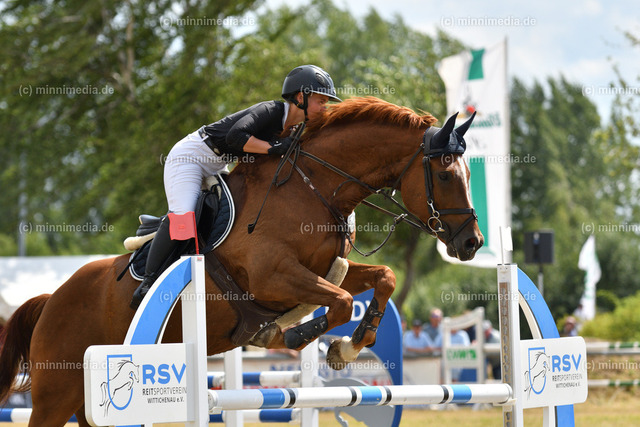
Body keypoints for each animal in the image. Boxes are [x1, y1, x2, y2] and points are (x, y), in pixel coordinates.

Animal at [0, 96, 483, 426]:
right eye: (445, 174)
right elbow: (341, 301)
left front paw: (347, 346)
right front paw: (295, 335)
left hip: (84, 403)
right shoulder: (274, 277)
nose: (472, 243)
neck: (312, 187)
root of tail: (51, 298)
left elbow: (382, 278)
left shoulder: (321, 270)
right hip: (54, 394)